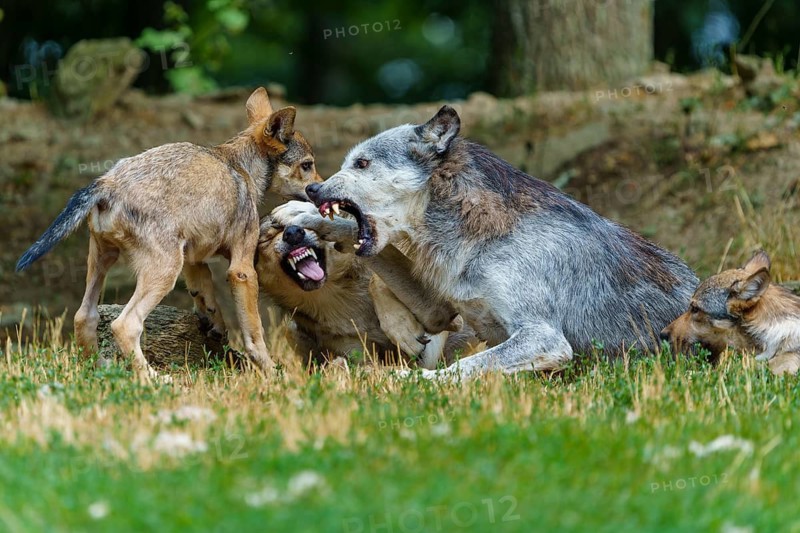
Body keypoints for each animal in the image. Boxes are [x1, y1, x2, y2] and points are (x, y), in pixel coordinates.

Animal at [16, 87, 321, 381]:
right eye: (307, 165)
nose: (319, 190)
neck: (241, 167)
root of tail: (108, 183)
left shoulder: (194, 257)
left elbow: (205, 291)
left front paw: (213, 323)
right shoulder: (242, 270)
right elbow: (254, 334)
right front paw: (273, 373)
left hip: (103, 261)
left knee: (84, 317)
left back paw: (104, 370)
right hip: (164, 271)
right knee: (125, 325)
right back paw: (153, 378)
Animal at [255, 217, 471, 368]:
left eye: (300, 222)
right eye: (267, 237)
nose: (293, 232)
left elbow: (376, 280)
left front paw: (402, 328)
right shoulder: (360, 354)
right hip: (289, 328)